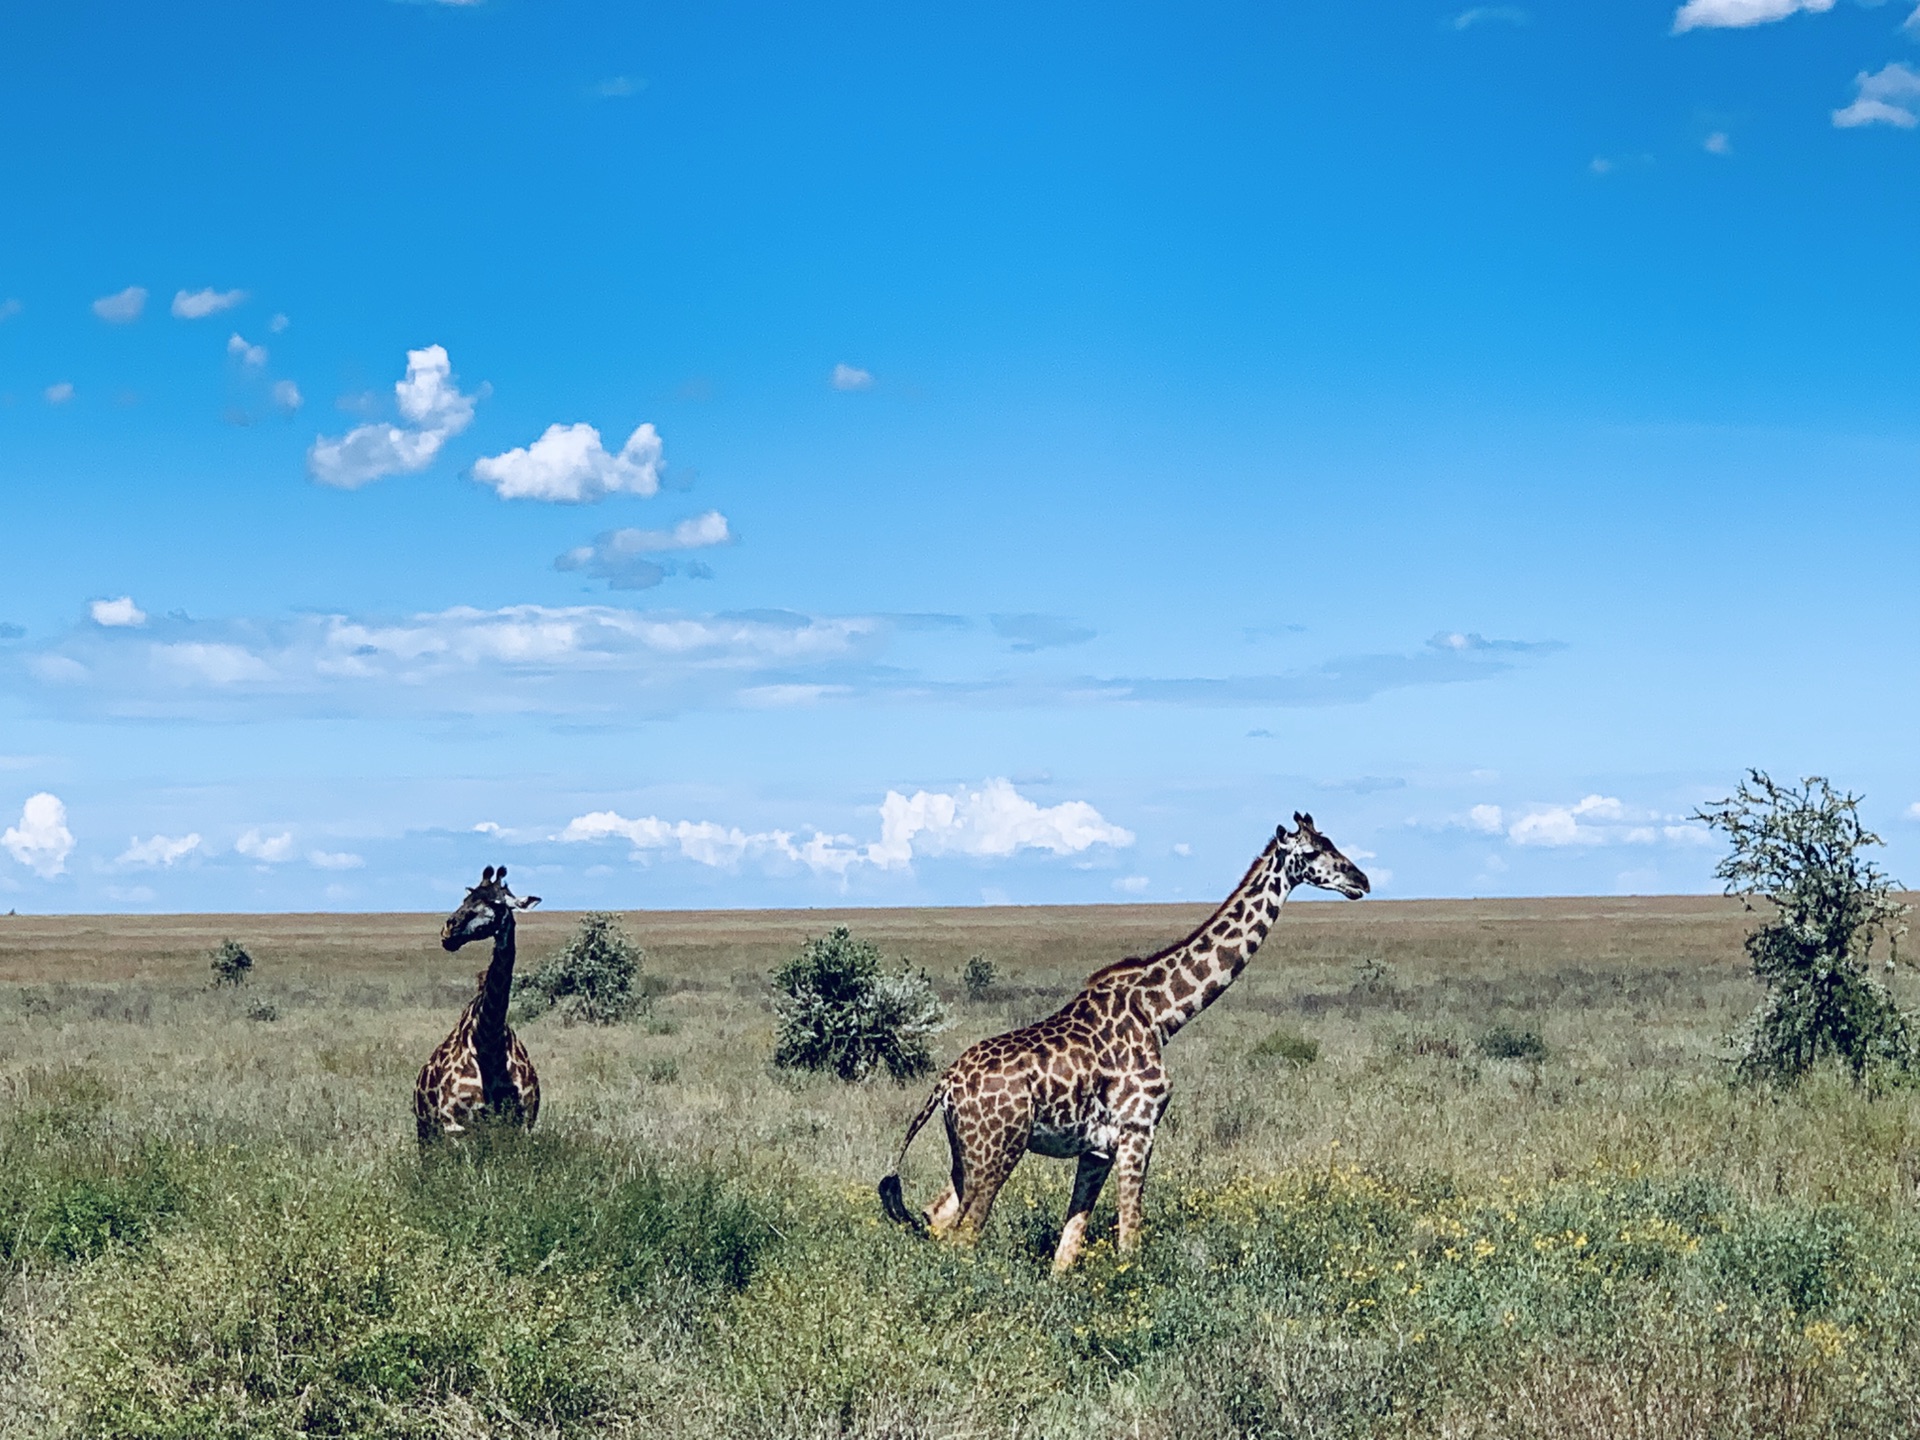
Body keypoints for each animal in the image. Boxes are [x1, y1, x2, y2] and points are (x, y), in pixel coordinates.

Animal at [412, 864, 545, 1144]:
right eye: (466, 899)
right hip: (425, 1130)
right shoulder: (453, 1123)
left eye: (496, 903)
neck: (489, 1045)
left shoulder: (523, 1122)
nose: (448, 931)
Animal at [879, 814, 1374, 1274]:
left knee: (936, 1216)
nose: (1361, 880)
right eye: (1311, 852)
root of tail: (945, 1084)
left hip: (966, 1153)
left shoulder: (1097, 1148)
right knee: (964, 1233)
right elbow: (1129, 1240)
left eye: (1331, 842)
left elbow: (1068, 1248)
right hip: (997, 1148)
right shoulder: (1139, 1128)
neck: (1161, 1014)